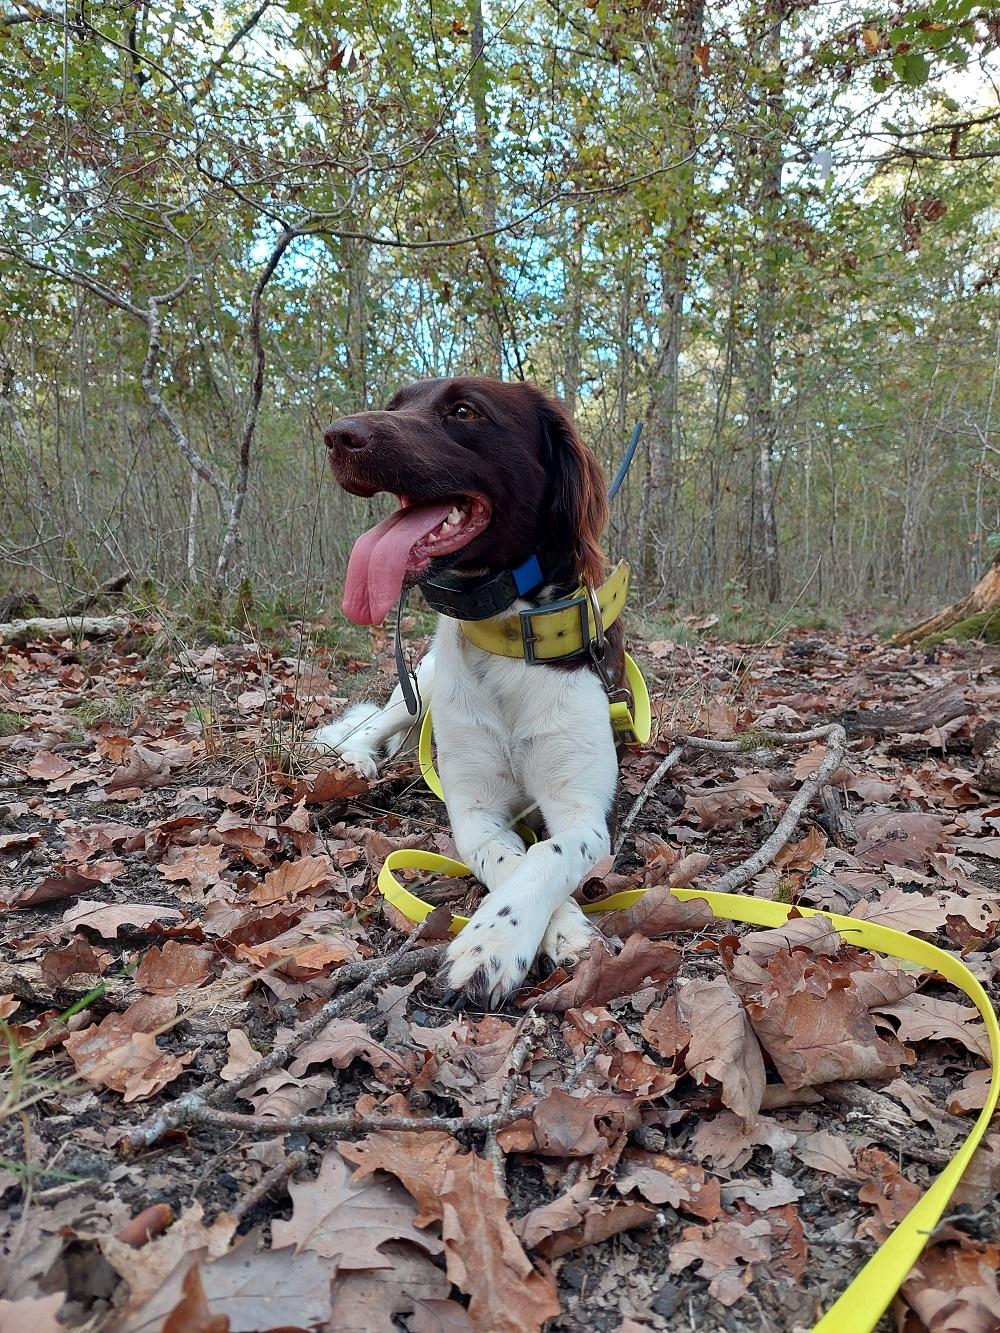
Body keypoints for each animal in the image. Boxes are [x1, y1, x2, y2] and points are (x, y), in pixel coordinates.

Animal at [313, 375, 629, 1002]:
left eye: (464, 411)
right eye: (395, 405)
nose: (337, 435)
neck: (506, 632)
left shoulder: (582, 810)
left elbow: (546, 852)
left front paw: (515, 939)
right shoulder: (474, 812)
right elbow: (511, 859)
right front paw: (498, 942)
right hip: (419, 689)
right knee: (362, 729)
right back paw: (359, 761)